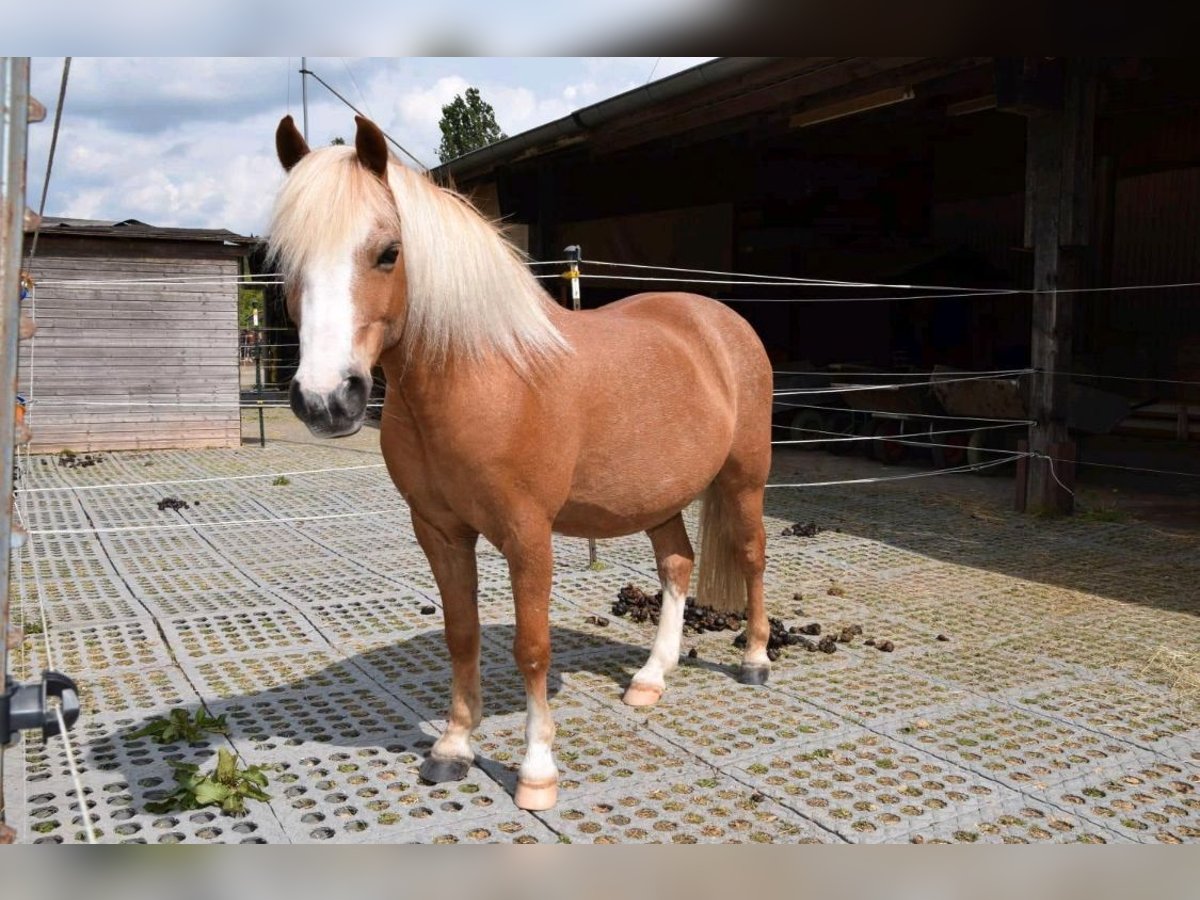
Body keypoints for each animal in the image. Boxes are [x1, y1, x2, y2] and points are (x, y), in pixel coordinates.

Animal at [268, 116, 772, 816]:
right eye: (285, 263)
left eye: (389, 252)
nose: (325, 400)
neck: (486, 376)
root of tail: (721, 321)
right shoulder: (440, 532)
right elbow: (462, 633)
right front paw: (453, 747)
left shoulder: (527, 535)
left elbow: (532, 648)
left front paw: (537, 772)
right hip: (657, 496)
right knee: (677, 563)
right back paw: (650, 678)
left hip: (744, 480)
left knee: (751, 555)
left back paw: (755, 660)